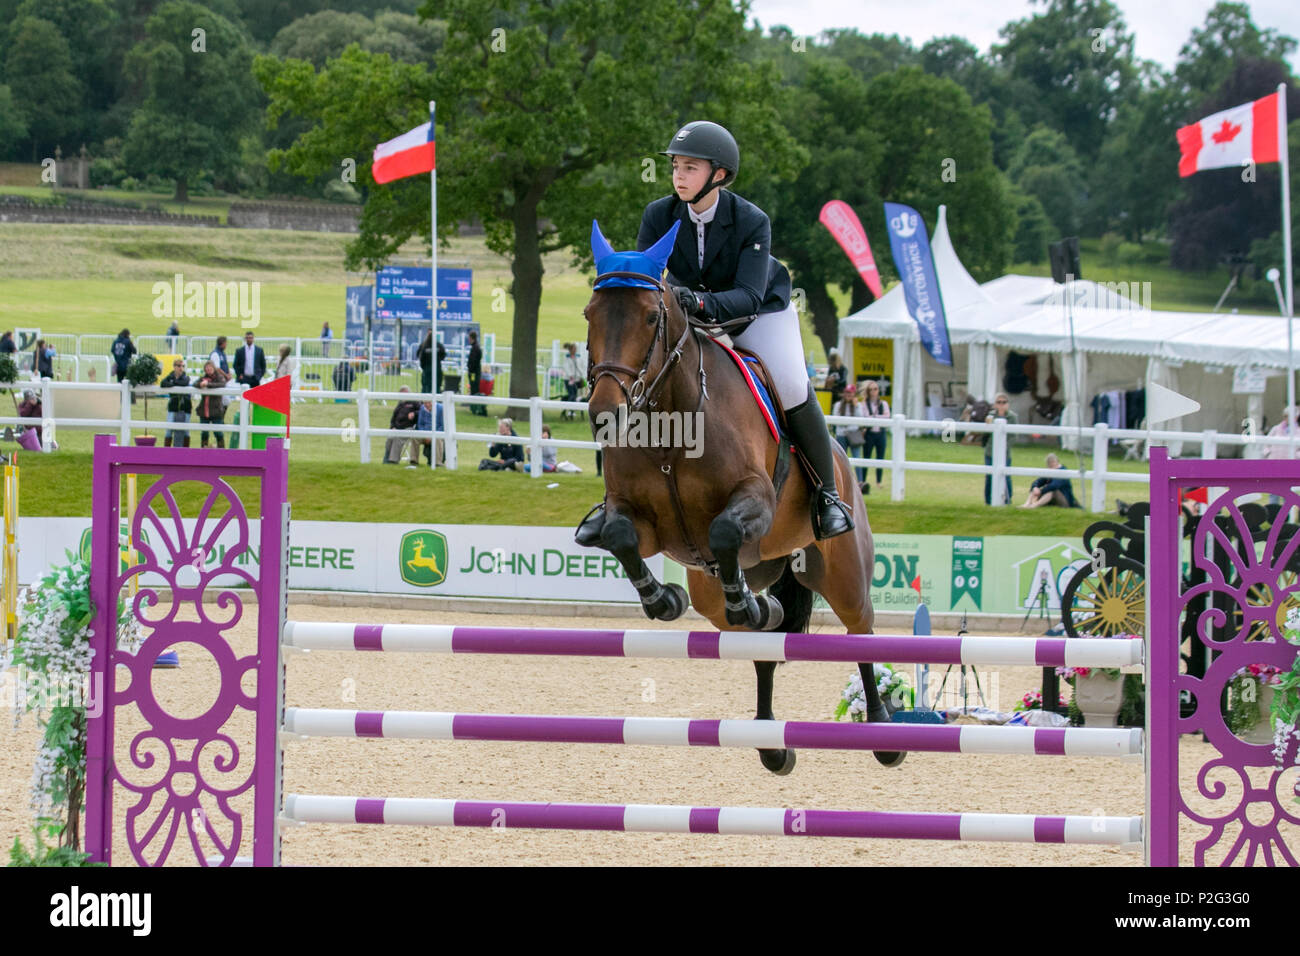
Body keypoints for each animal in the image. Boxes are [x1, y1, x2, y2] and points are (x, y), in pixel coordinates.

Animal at [585, 221, 909, 775]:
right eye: (590, 314)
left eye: (650, 317)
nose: (606, 415)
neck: (673, 425)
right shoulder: (644, 522)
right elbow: (618, 533)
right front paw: (661, 599)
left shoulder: (754, 500)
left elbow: (723, 529)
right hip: (716, 587)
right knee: (761, 636)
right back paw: (772, 738)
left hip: (842, 571)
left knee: (860, 631)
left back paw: (884, 734)